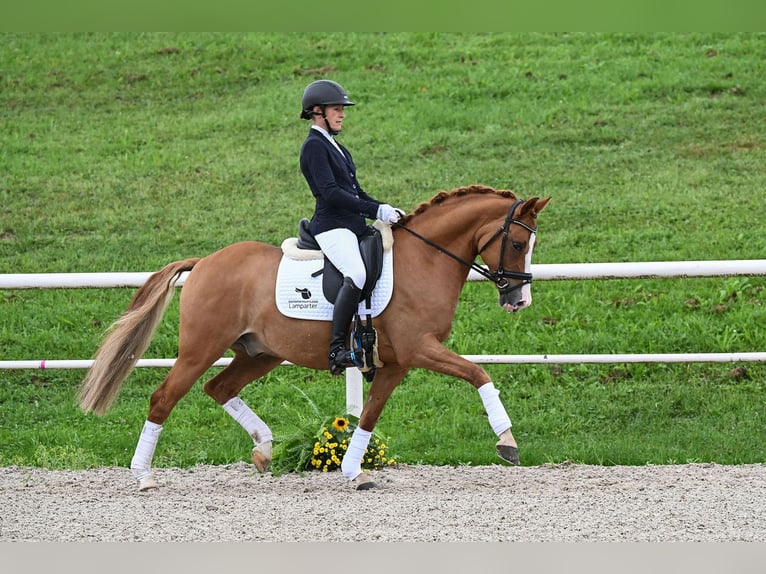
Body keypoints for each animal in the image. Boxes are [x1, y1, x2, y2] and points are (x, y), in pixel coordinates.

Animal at [79, 184, 552, 490]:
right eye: (516, 244)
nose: (519, 300)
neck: (425, 259)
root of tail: (206, 261)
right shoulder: (420, 349)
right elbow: (479, 374)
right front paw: (507, 443)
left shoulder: (397, 362)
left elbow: (369, 415)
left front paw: (353, 471)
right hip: (200, 349)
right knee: (164, 398)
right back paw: (143, 476)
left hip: (260, 353)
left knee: (220, 387)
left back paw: (264, 450)